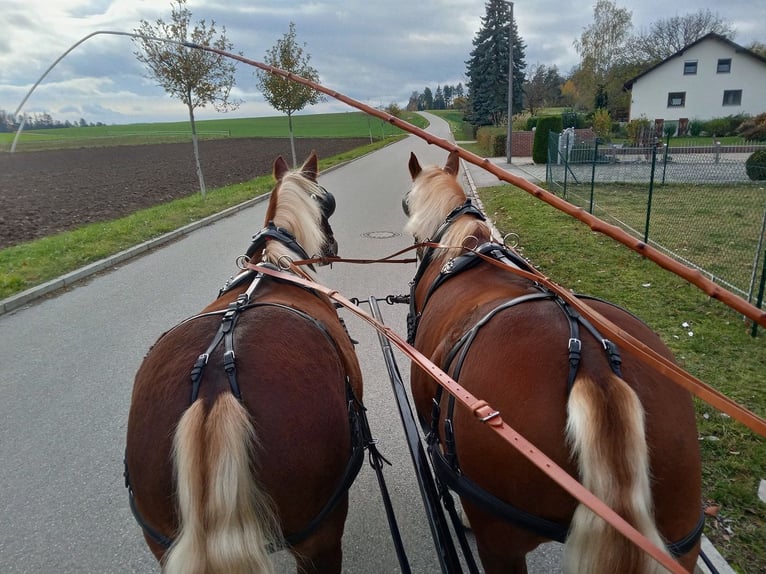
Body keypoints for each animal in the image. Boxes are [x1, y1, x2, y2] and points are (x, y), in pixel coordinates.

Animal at [126, 151, 366, 572]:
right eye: (326, 203)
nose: (332, 246)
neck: (276, 264)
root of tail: (214, 390)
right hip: (320, 535)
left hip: (161, 541)